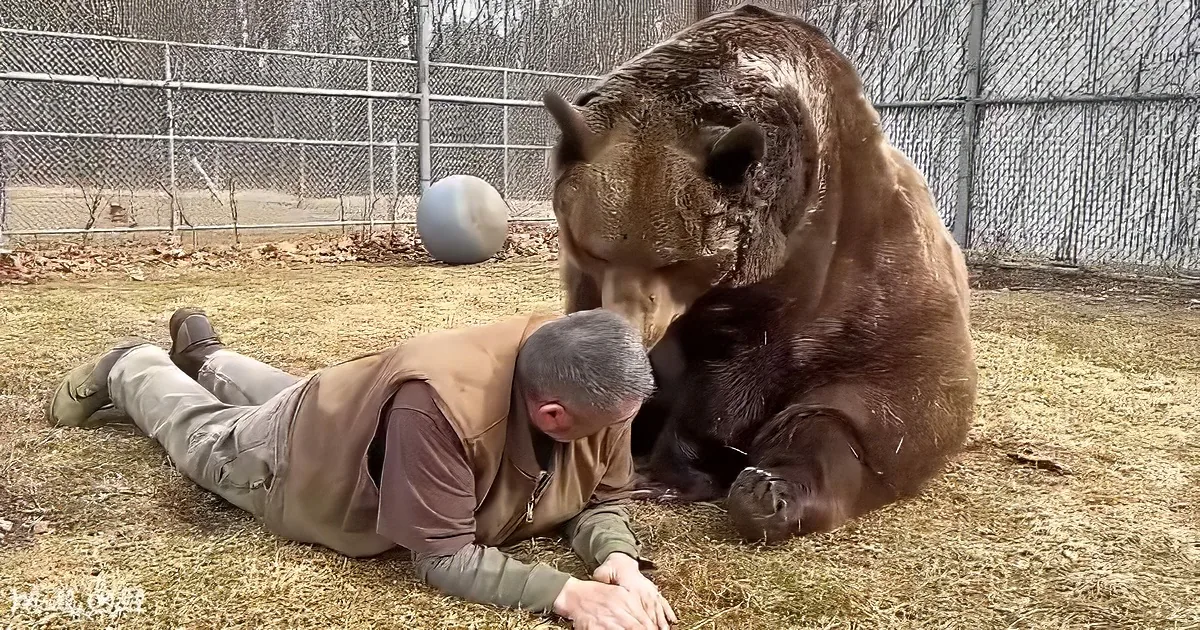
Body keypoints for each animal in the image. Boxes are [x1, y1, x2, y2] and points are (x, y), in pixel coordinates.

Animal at [541, 3, 978, 542]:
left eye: (678, 261)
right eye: (594, 249)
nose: (637, 330)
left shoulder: (808, 265)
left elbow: (740, 378)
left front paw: (669, 473)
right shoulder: (588, 280)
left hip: (904, 361)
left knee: (838, 424)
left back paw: (767, 492)